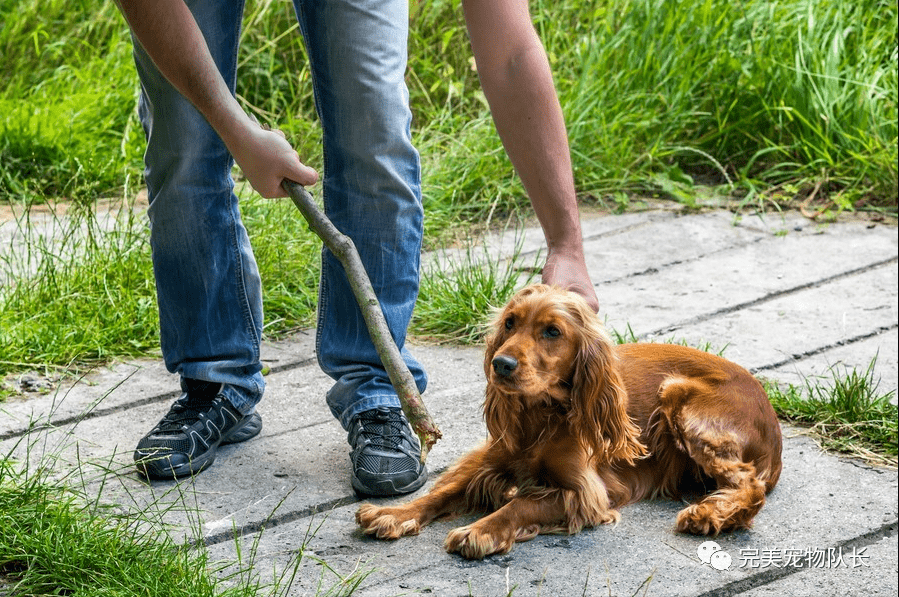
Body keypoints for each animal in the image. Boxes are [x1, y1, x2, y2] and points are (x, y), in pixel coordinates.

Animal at [356, 284, 780, 560]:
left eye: (552, 331)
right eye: (509, 323)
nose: (501, 364)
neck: (541, 416)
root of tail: (773, 422)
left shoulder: (587, 493)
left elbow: (522, 503)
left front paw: (481, 529)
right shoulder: (490, 462)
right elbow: (443, 492)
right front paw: (393, 514)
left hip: (680, 398)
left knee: (750, 486)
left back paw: (708, 514)